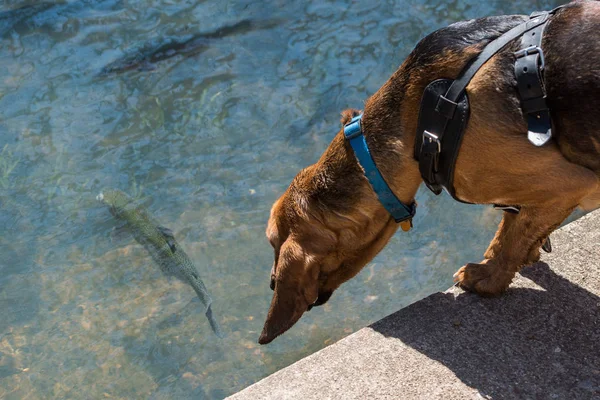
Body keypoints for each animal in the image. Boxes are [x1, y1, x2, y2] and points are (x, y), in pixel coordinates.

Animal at [258, 0, 600, 344]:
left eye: (273, 242)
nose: (272, 283)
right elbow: (513, 226)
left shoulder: (566, 185)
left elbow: (512, 238)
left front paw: (488, 277)